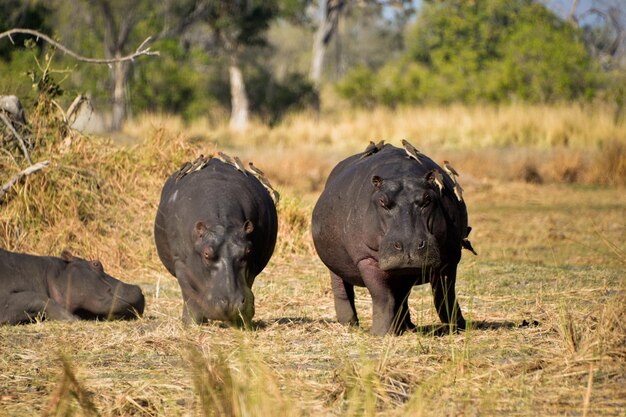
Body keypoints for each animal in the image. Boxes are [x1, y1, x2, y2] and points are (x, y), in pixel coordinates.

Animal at [154, 153, 278, 324]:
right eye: (206, 253)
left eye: (247, 252)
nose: (231, 303)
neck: (221, 225)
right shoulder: (180, 262)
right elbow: (189, 294)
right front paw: (191, 323)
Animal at [312, 141, 472, 334]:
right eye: (382, 201)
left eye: (427, 199)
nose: (409, 244)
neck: (402, 175)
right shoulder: (366, 260)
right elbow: (381, 296)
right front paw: (381, 334)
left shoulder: (450, 257)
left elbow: (445, 294)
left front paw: (459, 327)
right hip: (335, 266)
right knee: (342, 290)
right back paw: (350, 325)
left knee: (402, 295)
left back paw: (407, 327)